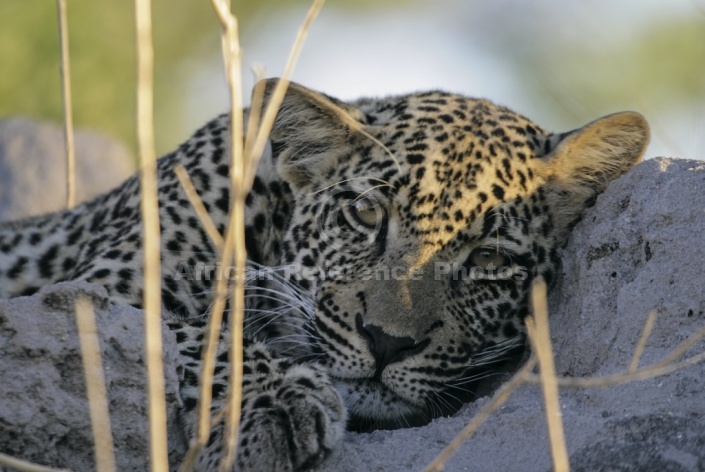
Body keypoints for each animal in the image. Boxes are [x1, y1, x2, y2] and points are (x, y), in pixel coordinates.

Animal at [1, 79, 648, 470]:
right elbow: (197, 331)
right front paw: (271, 408)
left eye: (488, 257)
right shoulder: (95, 292)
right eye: (365, 214)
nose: (387, 343)